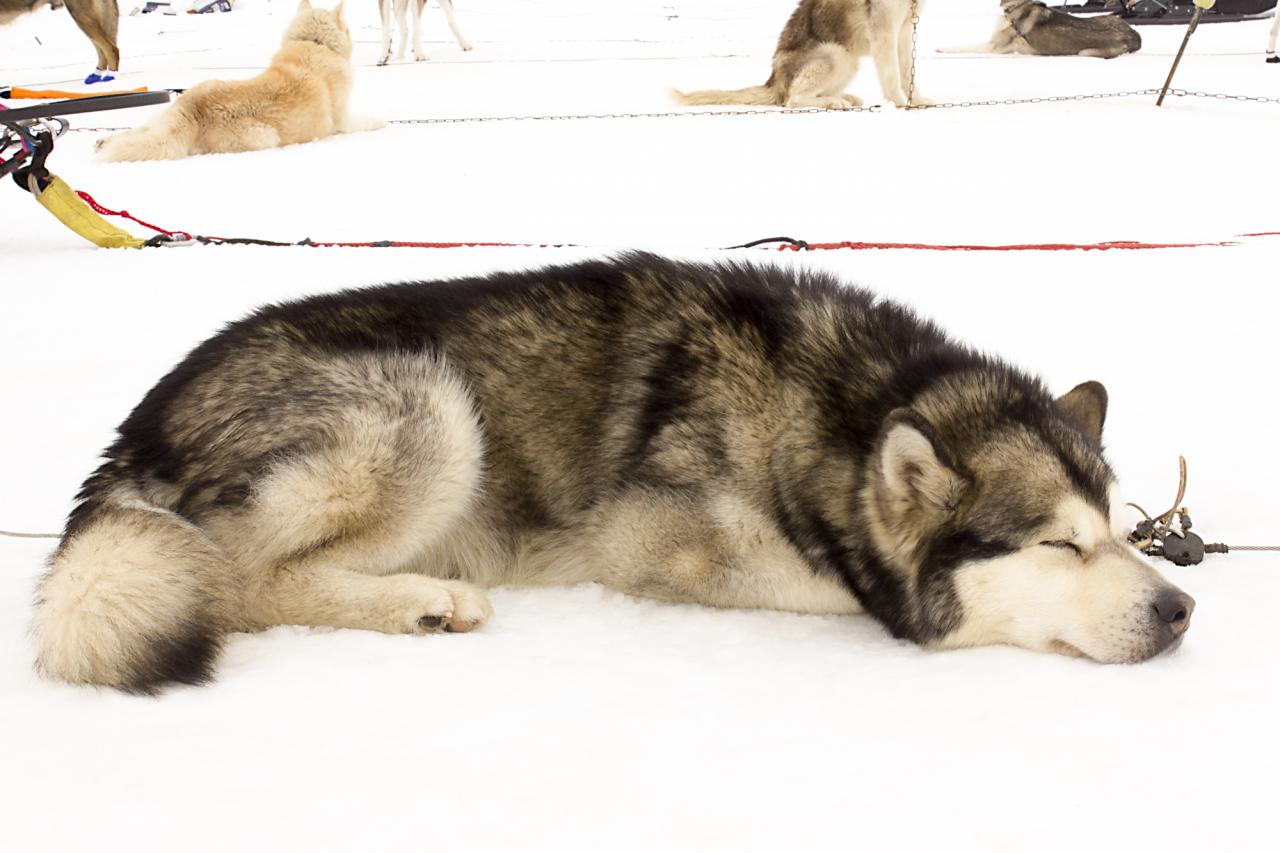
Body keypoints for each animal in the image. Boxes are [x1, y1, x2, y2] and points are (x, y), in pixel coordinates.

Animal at [30, 253, 1192, 691]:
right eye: (1056, 542)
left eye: (1113, 528)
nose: (1178, 610)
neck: (838, 409)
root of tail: (137, 427)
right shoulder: (655, 541)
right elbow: (840, 586)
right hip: (429, 407)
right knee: (235, 579)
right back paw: (423, 600)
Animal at [95, 0, 378, 161]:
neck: (314, 43)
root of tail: (193, 110)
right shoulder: (342, 121)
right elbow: (368, 122)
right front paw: (380, 122)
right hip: (266, 136)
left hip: (164, 117)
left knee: (140, 132)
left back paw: (104, 143)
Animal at [670, 0, 931, 109]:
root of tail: (773, 79)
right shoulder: (884, 29)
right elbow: (891, 75)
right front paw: (899, 104)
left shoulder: (905, 29)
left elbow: (908, 73)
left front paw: (918, 101)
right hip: (837, 54)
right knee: (792, 99)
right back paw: (834, 102)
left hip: (847, 58)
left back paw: (843, 97)